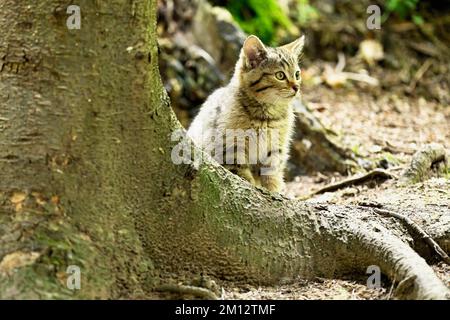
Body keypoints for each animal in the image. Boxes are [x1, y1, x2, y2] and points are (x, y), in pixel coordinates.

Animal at [188, 35, 304, 192]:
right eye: (280, 75)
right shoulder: (231, 145)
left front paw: (274, 189)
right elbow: (240, 170)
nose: (296, 87)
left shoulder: (276, 146)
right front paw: (250, 185)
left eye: (297, 74)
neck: (266, 116)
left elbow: (272, 171)